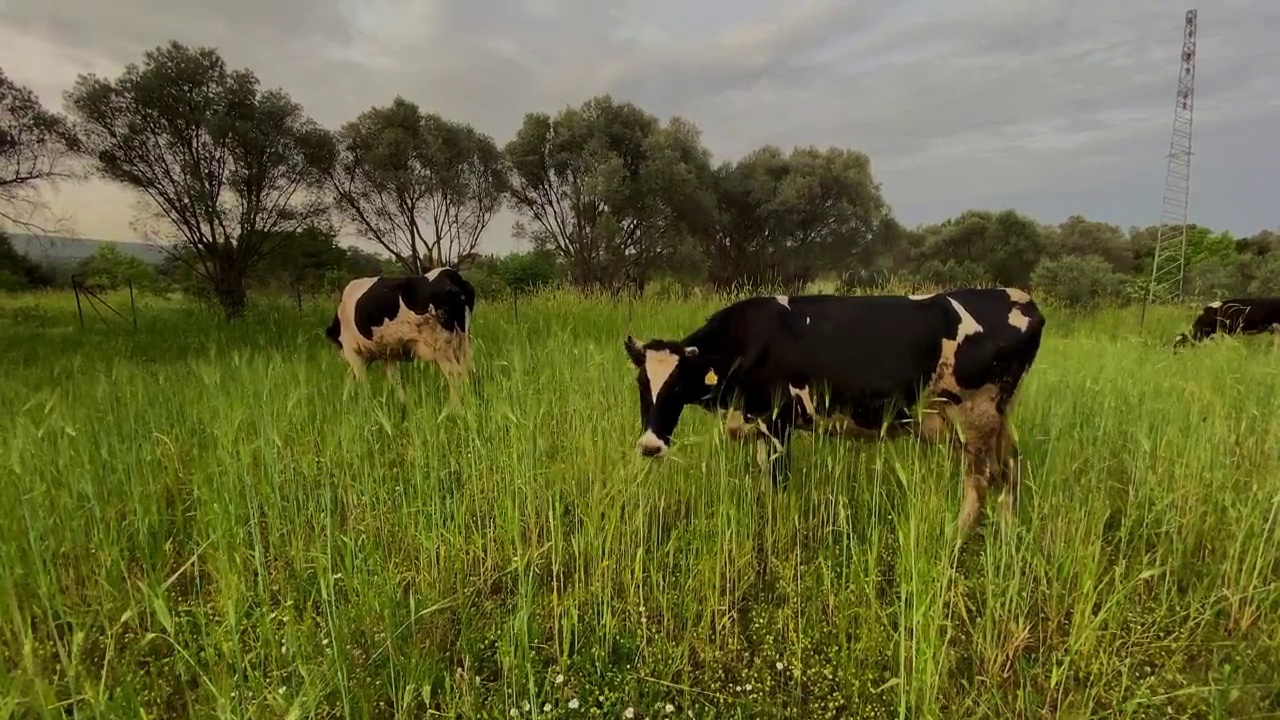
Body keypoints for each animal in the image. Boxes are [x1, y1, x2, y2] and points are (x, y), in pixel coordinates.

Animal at [325, 265, 476, 404]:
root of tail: (450, 275)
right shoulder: (388, 354)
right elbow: (394, 379)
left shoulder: (353, 351)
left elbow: (361, 380)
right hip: (462, 342)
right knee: (468, 370)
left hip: (441, 348)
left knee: (456, 375)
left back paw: (452, 407)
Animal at [624, 285, 1044, 538]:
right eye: (642, 385)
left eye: (678, 386)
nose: (650, 446)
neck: (750, 341)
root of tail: (1020, 298)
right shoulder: (760, 424)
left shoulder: (779, 423)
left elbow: (779, 483)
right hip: (995, 421)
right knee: (1010, 470)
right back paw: (1006, 533)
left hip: (975, 417)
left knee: (981, 481)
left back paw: (956, 537)